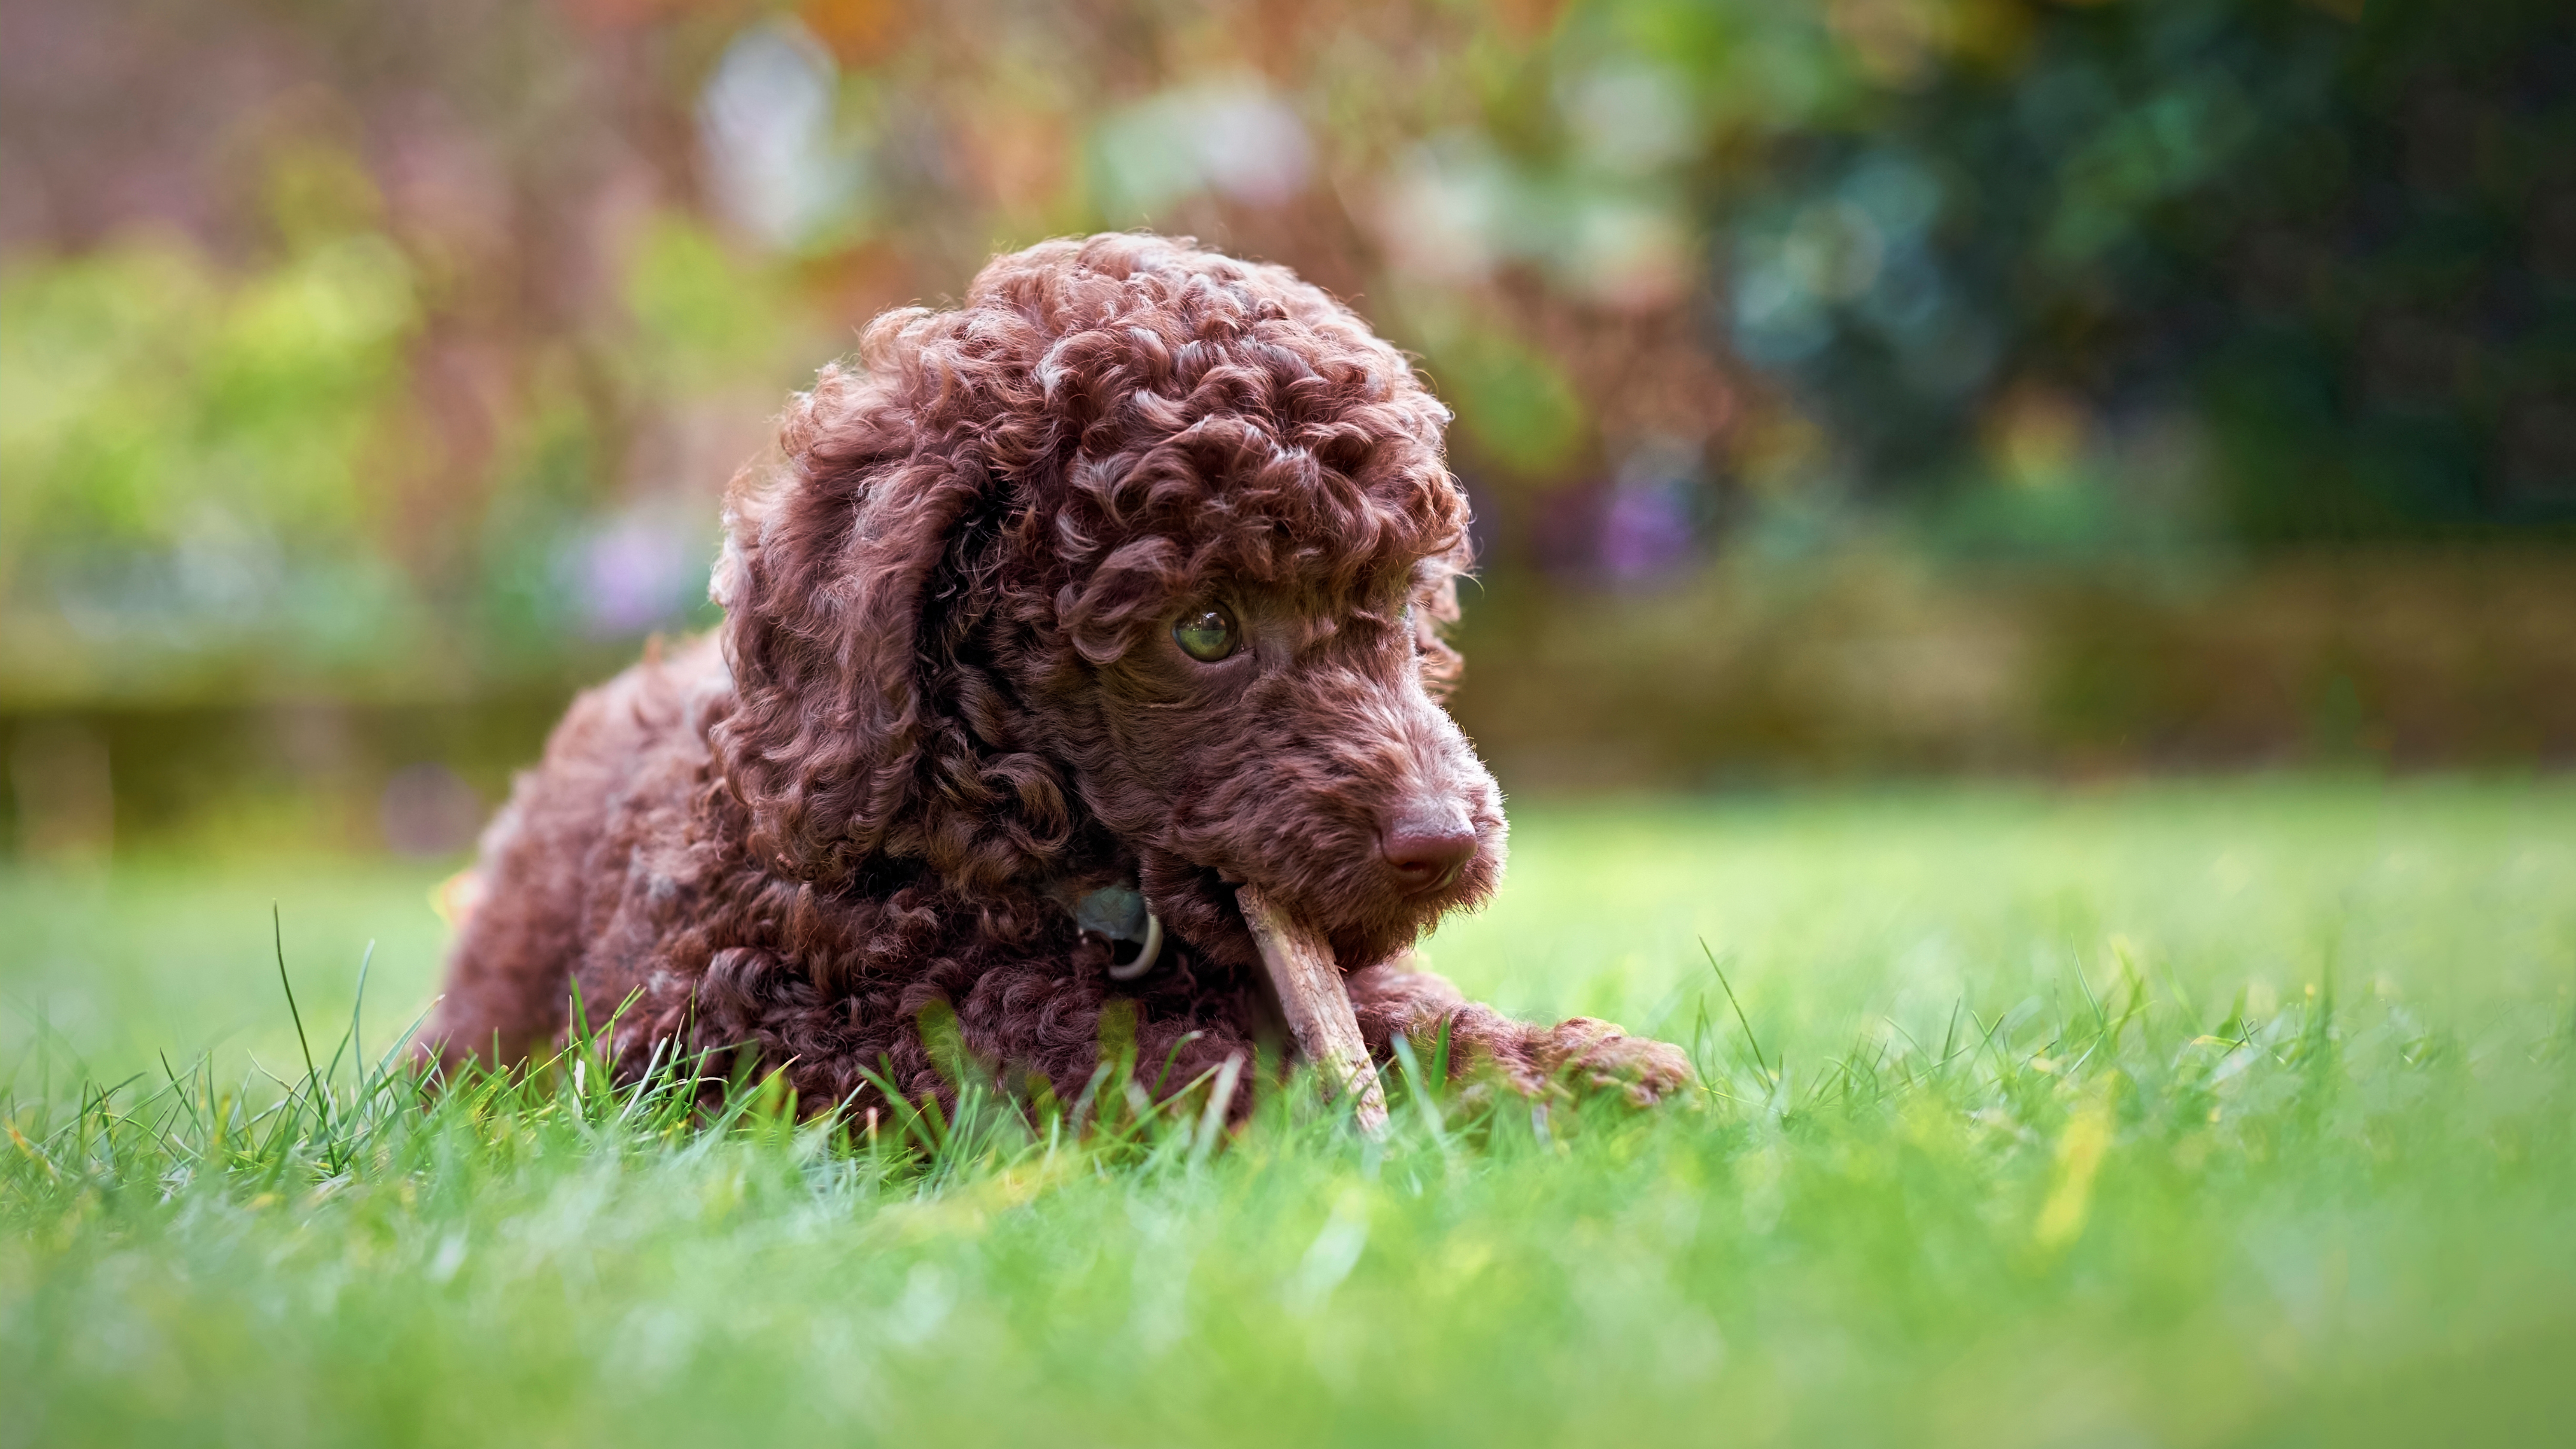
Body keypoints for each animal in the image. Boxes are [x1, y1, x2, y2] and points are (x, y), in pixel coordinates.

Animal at [422, 231, 1690, 1109]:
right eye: (1204, 631)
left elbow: (1405, 1007)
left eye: (1387, 602)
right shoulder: (736, 1026)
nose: (1443, 844)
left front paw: (1579, 1068)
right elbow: (1066, 1042)